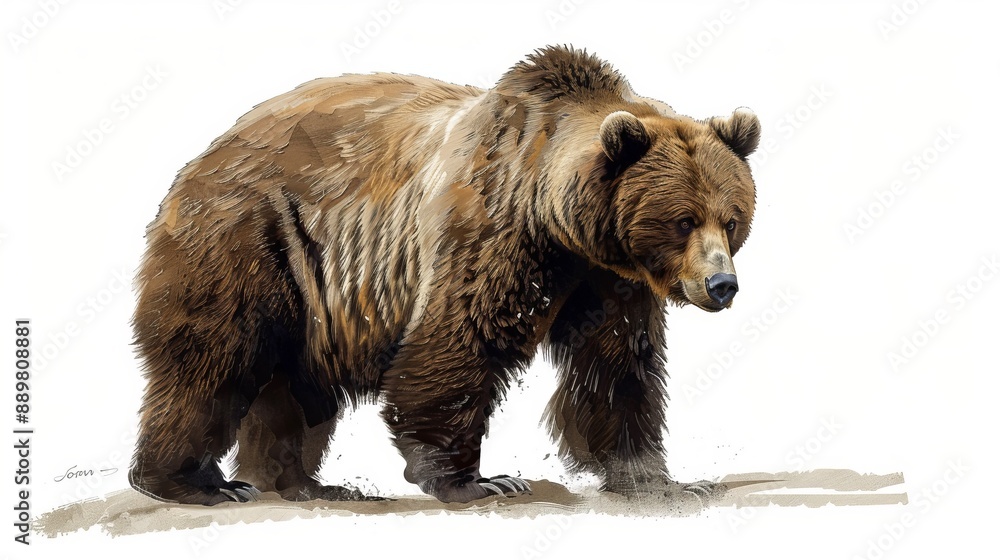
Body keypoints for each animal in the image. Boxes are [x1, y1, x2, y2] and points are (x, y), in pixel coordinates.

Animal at [128, 45, 760, 505]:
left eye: (731, 219)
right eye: (682, 220)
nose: (722, 285)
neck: (565, 225)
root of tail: (199, 158)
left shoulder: (609, 279)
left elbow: (618, 365)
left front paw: (658, 477)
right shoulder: (494, 229)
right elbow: (460, 340)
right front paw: (478, 479)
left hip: (311, 289)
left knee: (295, 386)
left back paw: (305, 484)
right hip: (254, 237)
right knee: (214, 361)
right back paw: (194, 483)